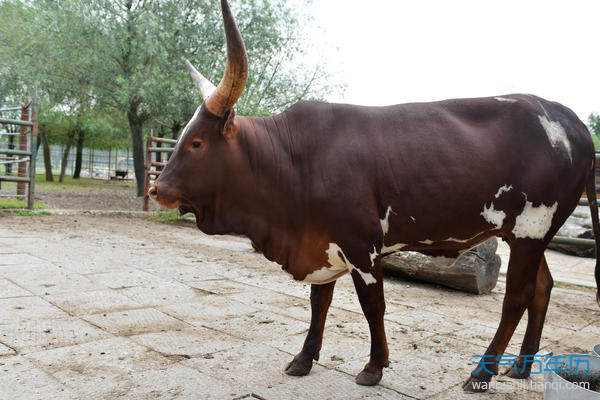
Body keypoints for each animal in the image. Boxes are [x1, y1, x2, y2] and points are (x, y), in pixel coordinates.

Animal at [148, 0, 596, 390]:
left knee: (516, 297)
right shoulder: (323, 241)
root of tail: (570, 119)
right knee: (542, 287)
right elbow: (320, 302)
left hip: (530, 229)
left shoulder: (362, 245)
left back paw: (481, 374)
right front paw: (304, 358)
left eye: (197, 143)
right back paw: (520, 367)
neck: (293, 159)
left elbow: (372, 305)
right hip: (528, 235)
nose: (157, 188)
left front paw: (374, 366)